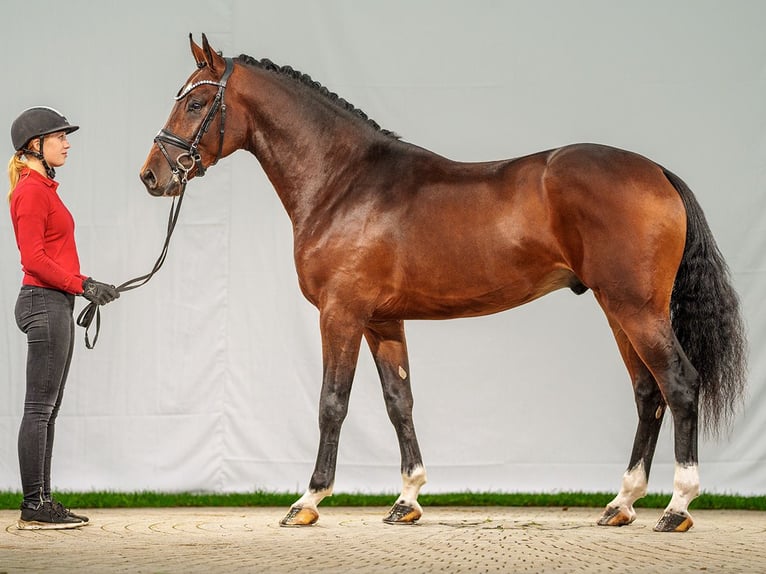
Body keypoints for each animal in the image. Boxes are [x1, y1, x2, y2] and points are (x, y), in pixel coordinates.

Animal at [140, 33, 752, 532]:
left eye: (196, 102)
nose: (151, 175)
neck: (344, 182)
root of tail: (657, 172)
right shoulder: (383, 320)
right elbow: (399, 401)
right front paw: (407, 500)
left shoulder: (340, 313)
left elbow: (332, 402)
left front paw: (308, 500)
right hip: (617, 308)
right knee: (648, 393)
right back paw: (621, 504)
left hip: (635, 307)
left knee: (679, 384)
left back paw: (676, 507)